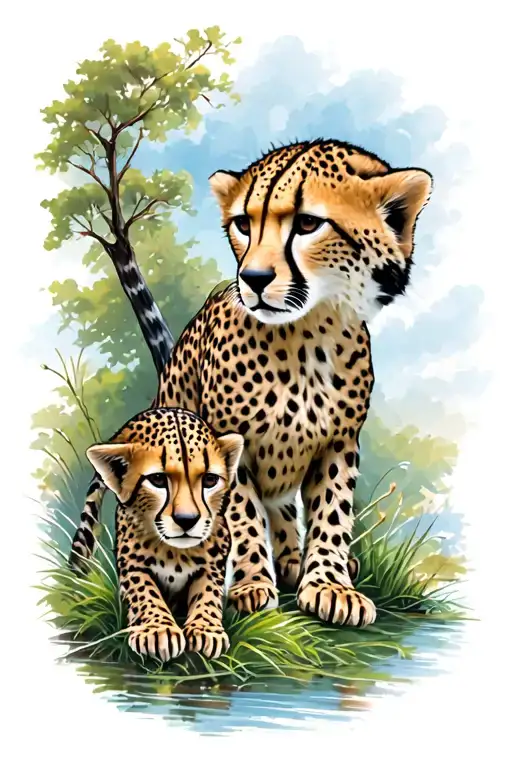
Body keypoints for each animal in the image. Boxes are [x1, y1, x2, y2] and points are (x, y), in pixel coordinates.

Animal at [70, 139, 432, 628]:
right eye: (243, 224)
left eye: (307, 224)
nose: (253, 279)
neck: (306, 335)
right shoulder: (229, 446)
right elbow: (243, 514)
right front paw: (253, 585)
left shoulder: (338, 442)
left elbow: (332, 510)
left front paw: (329, 584)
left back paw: (299, 563)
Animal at [80, 406, 244, 661]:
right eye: (157, 479)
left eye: (209, 480)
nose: (187, 520)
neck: (175, 552)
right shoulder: (132, 564)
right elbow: (144, 592)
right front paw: (158, 631)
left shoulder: (213, 562)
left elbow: (207, 592)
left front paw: (206, 629)